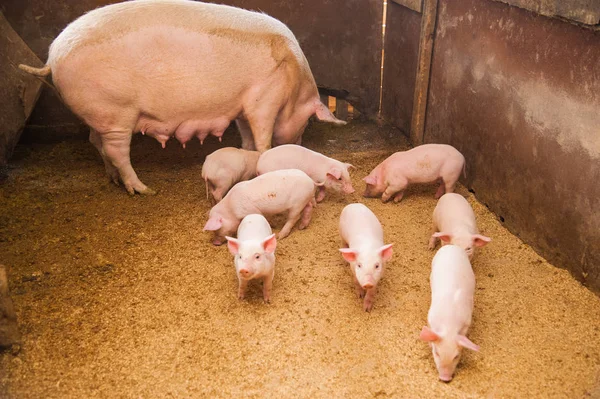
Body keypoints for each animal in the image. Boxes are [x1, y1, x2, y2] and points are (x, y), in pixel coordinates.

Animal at [18, 0, 344, 195]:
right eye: (307, 122)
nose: (298, 142)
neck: (295, 81)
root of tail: (52, 57)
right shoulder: (264, 99)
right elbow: (262, 138)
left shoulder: (242, 106)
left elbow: (248, 138)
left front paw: (246, 155)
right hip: (117, 112)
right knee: (116, 151)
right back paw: (143, 189)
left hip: (100, 114)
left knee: (95, 142)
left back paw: (113, 180)